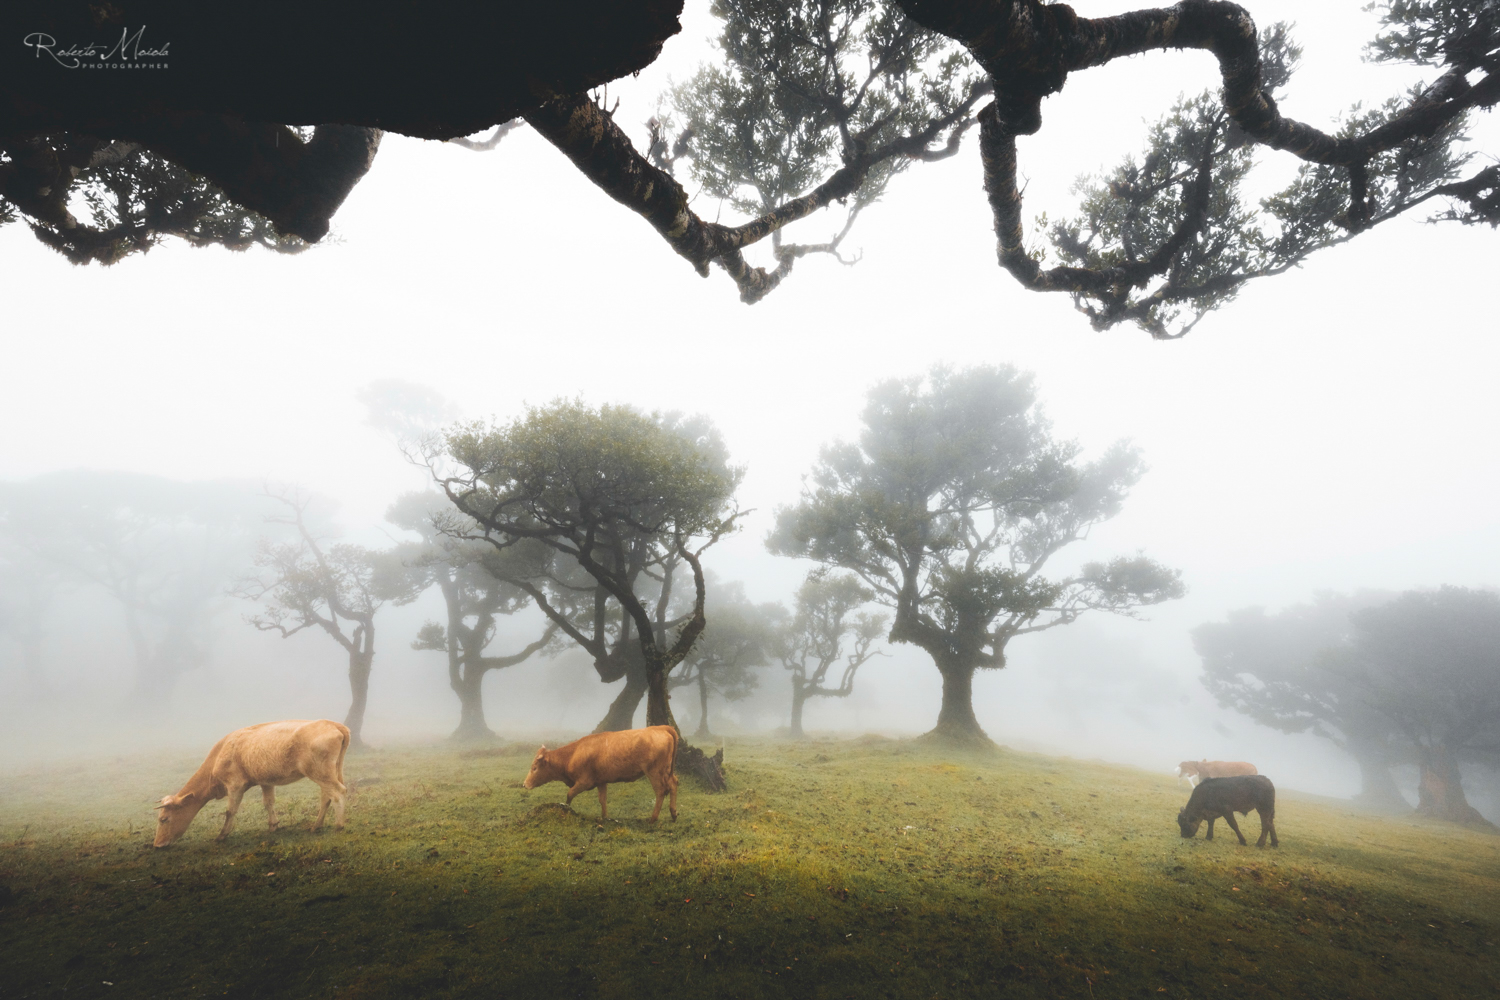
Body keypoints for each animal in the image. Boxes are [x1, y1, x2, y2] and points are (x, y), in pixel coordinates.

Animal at [154, 719, 350, 848]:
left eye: (163, 819)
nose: (157, 844)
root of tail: (333, 723)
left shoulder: (234, 785)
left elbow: (230, 811)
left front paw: (222, 836)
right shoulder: (266, 781)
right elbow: (268, 803)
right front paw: (273, 826)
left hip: (320, 772)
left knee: (338, 792)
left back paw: (339, 826)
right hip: (331, 771)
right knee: (326, 796)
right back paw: (317, 826)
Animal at [523, 725, 680, 822]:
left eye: (534, 767)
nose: (524, 784)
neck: (573, 754)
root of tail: (661, 727)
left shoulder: (584, 782)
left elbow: (570, 794)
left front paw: (565, 809)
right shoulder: (601, 781)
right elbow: (602, 800)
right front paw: (605, 817)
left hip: (655, 772)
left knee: (661, 791)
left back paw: (653, 819)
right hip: (666, 771)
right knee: (673, 784)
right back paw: (673, 814)